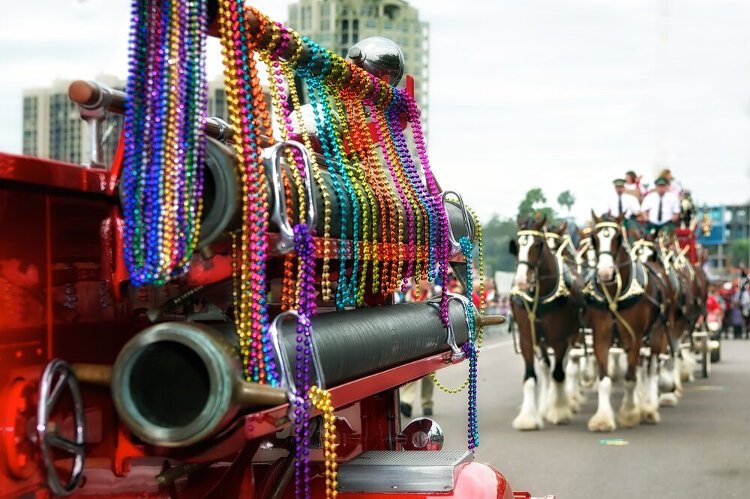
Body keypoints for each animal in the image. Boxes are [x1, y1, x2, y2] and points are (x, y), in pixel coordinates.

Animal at [508, 217, 584, 432]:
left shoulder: (560, 340)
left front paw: (559, 410)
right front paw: (528, 418)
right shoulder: (527, 338)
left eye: (538, 244)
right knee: (545, 368)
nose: (522, 281)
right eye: (517, 246)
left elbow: (559, 374)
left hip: (573, 336)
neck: (539, 297)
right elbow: (531, 377)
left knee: (564, 367)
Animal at [584, 213, 668, 432]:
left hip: (656, 335)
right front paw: (602, 419)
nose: (605, 273)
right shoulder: (600, 336)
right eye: (594, 239)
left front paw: (630, 413)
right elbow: (604, 379)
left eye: (618, 238)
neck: (615, 295)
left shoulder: (635, 337)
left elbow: (630, 378)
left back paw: (649, 408)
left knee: (652, 369)